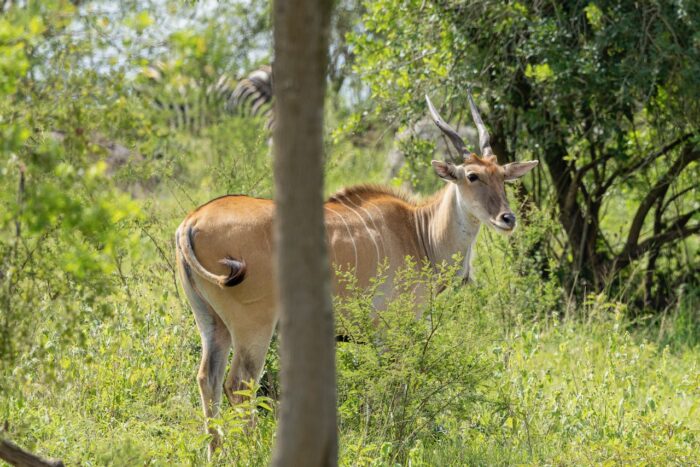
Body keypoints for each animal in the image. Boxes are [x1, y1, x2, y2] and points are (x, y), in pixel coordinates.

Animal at [175, 89, 537, 453]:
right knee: (239, 382)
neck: (419, 231)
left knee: (208, 378)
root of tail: (192, 221)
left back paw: (216, 452)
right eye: (472, 176)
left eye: (503, 176)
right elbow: (393, 385)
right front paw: (393, 441)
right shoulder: (390, 331)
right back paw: (252, 451)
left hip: (212, 324)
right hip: (254, 325)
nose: (508, 218)